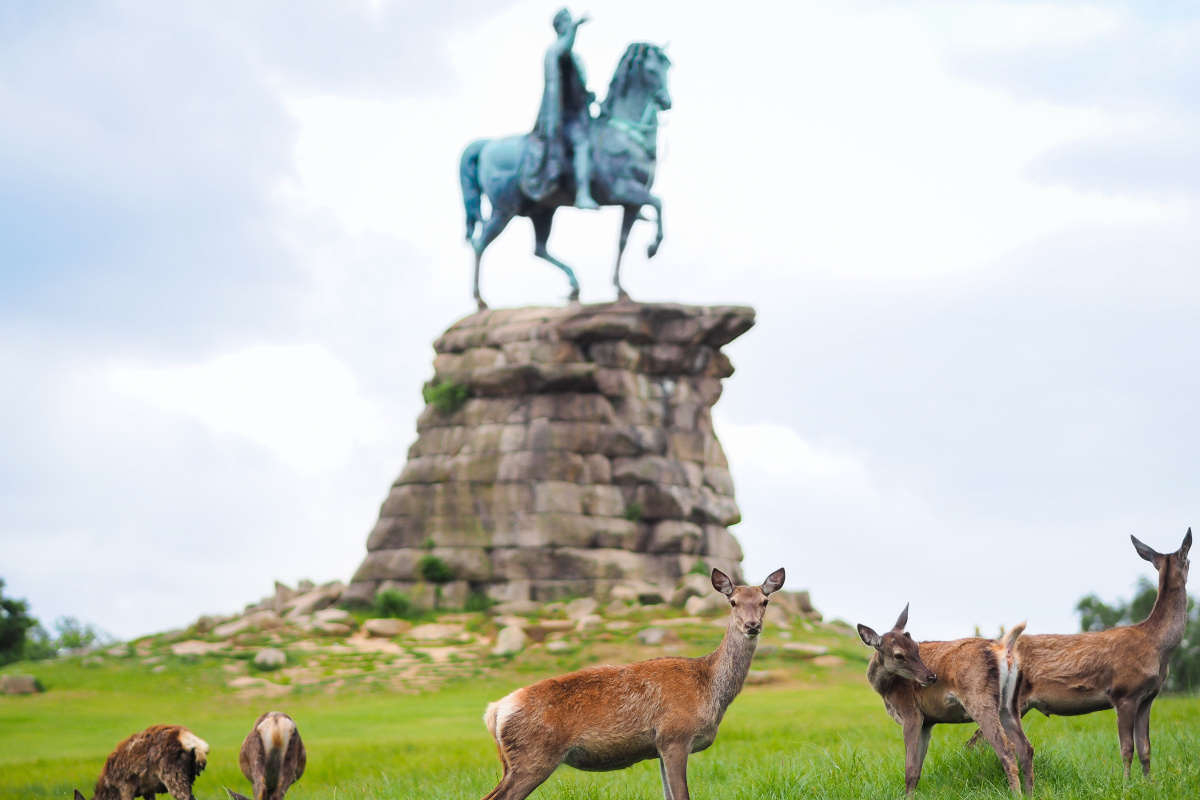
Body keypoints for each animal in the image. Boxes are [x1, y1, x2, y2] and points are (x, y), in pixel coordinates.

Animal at [477, 566, 787, 800]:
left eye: (765, 602)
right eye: (733, 602)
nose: (752, 626)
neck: (710, 689)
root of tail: (495, 710)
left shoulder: (660, 746)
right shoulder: (675, 735)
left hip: (511, 761)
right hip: (534, 756)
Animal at [859, 606, 1036, 796]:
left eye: (916, 647)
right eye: (899, 655)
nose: (931, 676)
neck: (886, 690)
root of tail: (1005, 649)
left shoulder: (911, 712)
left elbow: (910, 768)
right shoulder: (927, 722)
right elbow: (918, 770)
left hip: (979, 698)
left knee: (1007, 749)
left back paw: (1017, 794)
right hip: (1009, 704)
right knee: (1026, 747)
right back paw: (1029, 794)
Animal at [964, 527, 1190, 777]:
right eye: (1189, 560)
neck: (1157, 648)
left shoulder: (1148, 697)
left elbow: (1146, 749)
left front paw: (1148, 782)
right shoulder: (1124, 692)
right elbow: (1127, 749)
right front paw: (1126, 782)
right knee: (976, 741)